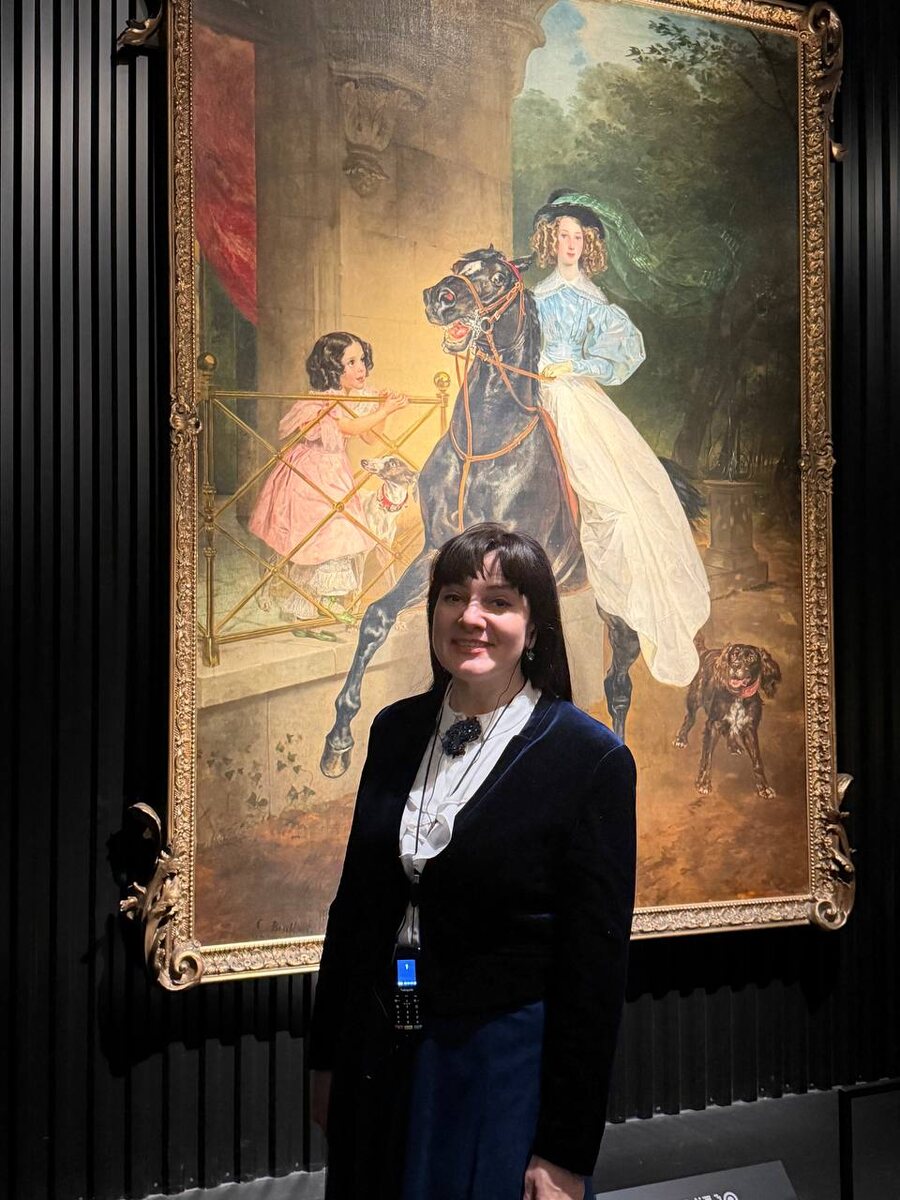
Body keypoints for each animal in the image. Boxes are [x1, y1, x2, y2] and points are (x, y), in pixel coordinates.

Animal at [674, 639, 782, 798]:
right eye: (734, 655)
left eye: (751, 658)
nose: (735, 665)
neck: (737, 696)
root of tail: (706, 651)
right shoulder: (713, 725)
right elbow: (707, 758)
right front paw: (704, 784)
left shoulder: (750, 728)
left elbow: (757, 760)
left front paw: (764, 787)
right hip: (695, 698)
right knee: (690, 718)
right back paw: (681, 738)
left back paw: (734, 745)